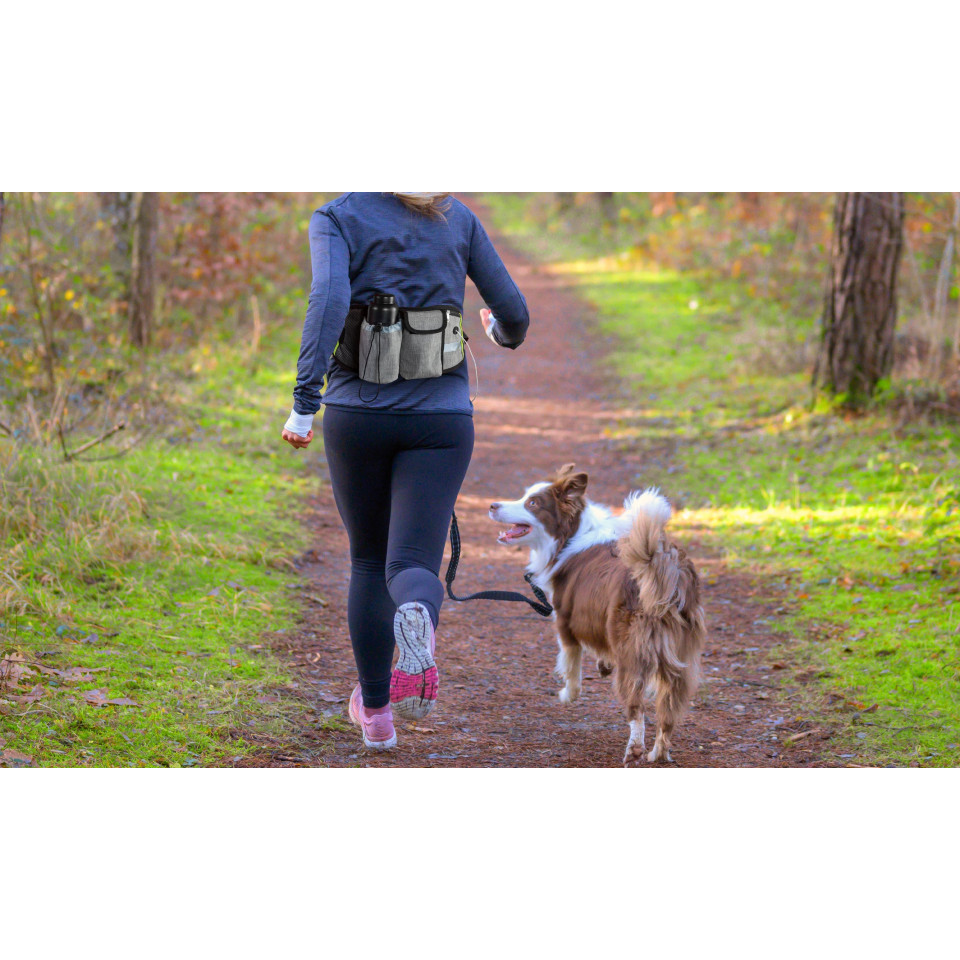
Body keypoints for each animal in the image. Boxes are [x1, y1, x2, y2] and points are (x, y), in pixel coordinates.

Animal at [488, 462, 704, 768]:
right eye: (524, 495)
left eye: (533, 503)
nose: (493, 505)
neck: (571, 535)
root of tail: (666, 570)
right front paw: (603, 664)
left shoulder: (565, 622)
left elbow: (571, 667)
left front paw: (567, 695)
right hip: (679, 660)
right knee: (668, 713)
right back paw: (658, 753)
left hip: (633, 654)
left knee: (636, 708)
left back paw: (634, 750)